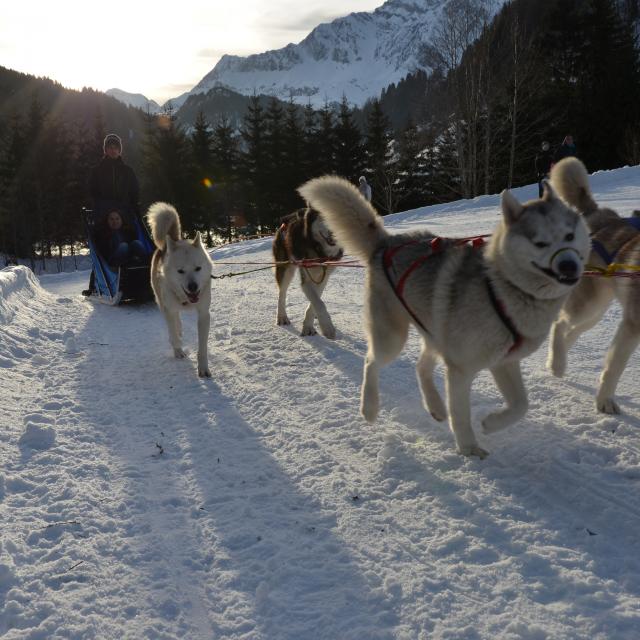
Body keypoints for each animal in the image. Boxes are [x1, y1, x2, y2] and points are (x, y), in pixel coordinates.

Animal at [147, 202, 212, 378]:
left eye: (198, 268)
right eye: (180, 271)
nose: (193, 286)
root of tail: (171, 241)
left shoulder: (204, 314)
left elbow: (202, 347)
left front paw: (203, 368)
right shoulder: (168, 309)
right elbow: (173, 334)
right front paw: (178, 351)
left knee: (178, 321)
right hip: (162, 302)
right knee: (174, 323)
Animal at [272, 208, 342, 338]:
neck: (319, 251)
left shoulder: (324, 276)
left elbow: (315, 301)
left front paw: (308, 325)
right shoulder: (307, 279)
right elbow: (319, 303)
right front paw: (327, 327)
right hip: (285, 269)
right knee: (282, 293)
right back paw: (282, 316)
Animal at [300, 176, 592, 456]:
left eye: (569, 235)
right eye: (539, 242)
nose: (569, 265)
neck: (500, 288)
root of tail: (386, 243)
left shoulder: (503, 362)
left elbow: (521, 404)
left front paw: (491, 423)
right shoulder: (461, 369)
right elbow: (461, 414)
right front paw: (468, 447)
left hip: (432, 331)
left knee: (421, 367)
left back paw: (436, 406)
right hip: (392, 337)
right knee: (371, 362)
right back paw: (369, 407)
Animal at [544, 158, 640, 412]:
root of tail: (596, 214)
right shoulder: (632, 325)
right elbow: (614, 368)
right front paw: (605, 401)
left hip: (596, 311)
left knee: (572, 331)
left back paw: (555, 359)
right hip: (588, 304)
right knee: (559, 324)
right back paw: (557, 364)